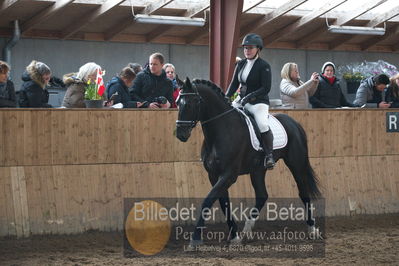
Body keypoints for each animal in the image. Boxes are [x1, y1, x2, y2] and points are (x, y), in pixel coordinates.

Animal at [177, 78, 320, 244]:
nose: (180, 134)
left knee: (303, 192)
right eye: (178, 102)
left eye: (190, 103)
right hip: (258, 170)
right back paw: (247, 230)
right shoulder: (213, 175)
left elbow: (208, 200)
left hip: (296, 164)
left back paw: (312, 229)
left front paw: (195, 238)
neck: (221, 130)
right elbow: (224, 204)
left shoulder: (229, 175)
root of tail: (294, 123)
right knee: (262, 195)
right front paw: (235, 235)